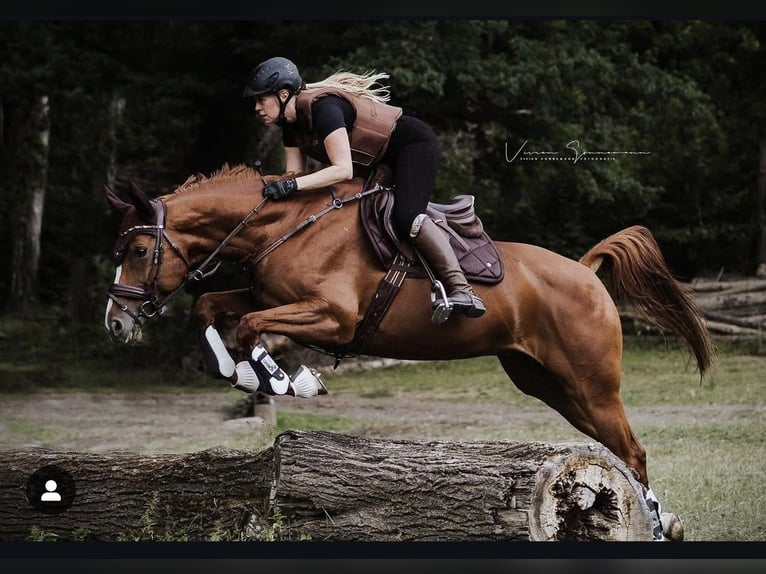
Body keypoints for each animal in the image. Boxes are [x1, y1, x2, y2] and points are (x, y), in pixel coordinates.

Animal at [103, 163, 714, 541]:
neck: (287, 225)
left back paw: (659, 527)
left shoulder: (333, 317)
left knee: (632, 449)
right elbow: (211, 306)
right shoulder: (268, 296)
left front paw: (285, 380)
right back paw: (660, 519)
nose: (115, 323)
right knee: (618, 450)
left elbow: (251, 325)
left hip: (589, 384)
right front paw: (238, 371)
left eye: (139, 251)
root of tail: (586, 272)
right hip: (550, 384)